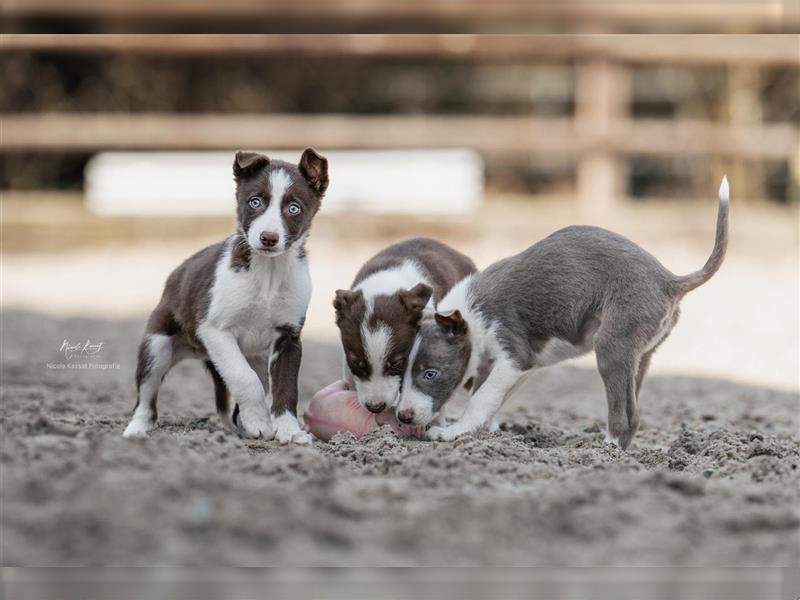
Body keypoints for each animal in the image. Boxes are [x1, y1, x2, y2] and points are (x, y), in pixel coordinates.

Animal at [122, 148, 328, 442]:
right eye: (255, 202)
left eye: (294, 208)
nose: (268, 238)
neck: (268, 272)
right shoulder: (214, 330)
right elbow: (244, 378)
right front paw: (259, 422)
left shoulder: (288, 337)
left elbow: (286, 387)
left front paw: (288, 430)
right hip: (156, 346)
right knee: (145, 398)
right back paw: (136, 430)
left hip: (257, 356)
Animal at [396, 176, 732, 448]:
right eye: (399, 370)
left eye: (430, 373)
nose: (403, 416)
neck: (469, 315)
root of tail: (668, 280)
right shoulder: (514, 367)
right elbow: (491, 398)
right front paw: (486, 433)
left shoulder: (513, 355)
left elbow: (481, 398)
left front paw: (453, 432)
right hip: (641, 355)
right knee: (634, 415)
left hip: (612, 346)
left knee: (623, 414)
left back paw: (606, 450)